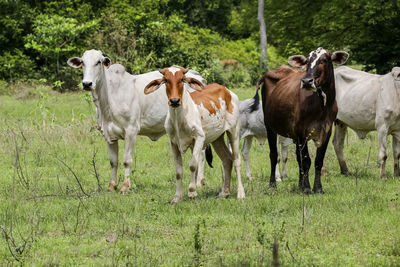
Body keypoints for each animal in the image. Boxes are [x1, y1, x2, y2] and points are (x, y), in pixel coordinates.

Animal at [67, 49, 206, 193]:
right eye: (83, 62)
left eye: (98, 62)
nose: (87, 84)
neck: (108, 99)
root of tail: (198, 76)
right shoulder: (108, 134)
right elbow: (113, 161)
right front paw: (112, 186)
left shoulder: (131, 130)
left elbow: (127, 160)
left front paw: (125, 186)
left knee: (201, 153)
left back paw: (199, 182)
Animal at [144, 66, 244, 203]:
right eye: (165, 80)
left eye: (182, 79)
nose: (174, 101)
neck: (179, 118)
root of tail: (227, 91)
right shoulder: (173, 142)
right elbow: (178, 170)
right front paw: (177, 197)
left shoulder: (199, 138)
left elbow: (192, 165)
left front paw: (192, 192)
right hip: (217, 138)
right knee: (227, 160)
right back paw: (225, 192)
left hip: (234, 132)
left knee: (237, 160)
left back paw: (240, 194)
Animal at [253, 48, 350, 194]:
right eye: (307, 61)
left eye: (324, 60)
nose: (306, 81)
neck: (322, 105)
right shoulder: (300, 131)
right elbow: (306, 161)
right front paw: (307, 188)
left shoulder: (326, 131)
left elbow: (318, 161)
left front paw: (317, 188)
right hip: (270, 127)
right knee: (274, 155)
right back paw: (273, 184)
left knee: (298, 158)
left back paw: (300, 184)